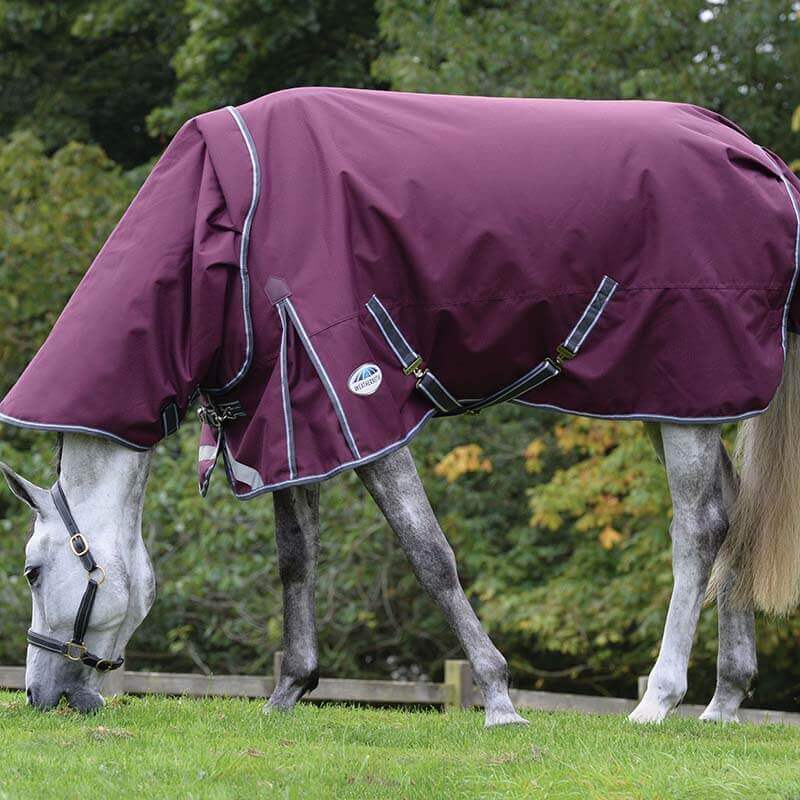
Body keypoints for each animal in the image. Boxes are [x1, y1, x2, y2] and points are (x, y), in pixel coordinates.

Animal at [1, 88, 799, 725]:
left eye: (33, 571)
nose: (41, 696)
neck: (222, 229)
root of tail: (755, 153)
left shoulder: (361, 407)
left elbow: (430, 556)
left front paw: (499, 698)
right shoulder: (292, 417)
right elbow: (296, 558)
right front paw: (288, 693)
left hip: (688, 396)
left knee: (699, 529)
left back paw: (658, 701)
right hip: (675, 400)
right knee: (735, 517)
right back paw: (724, 702)